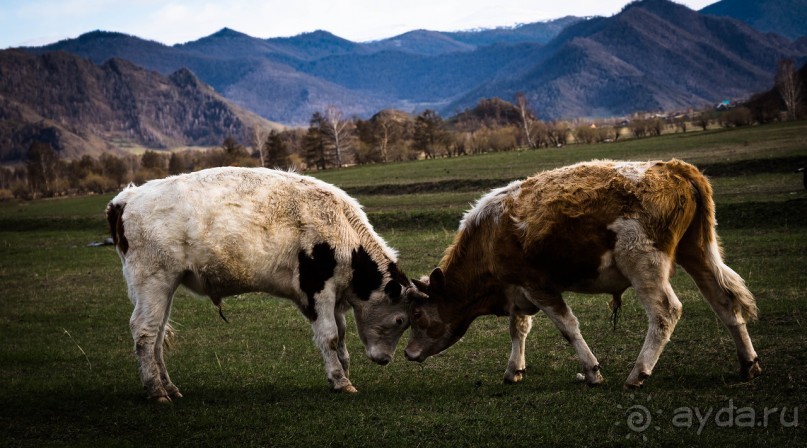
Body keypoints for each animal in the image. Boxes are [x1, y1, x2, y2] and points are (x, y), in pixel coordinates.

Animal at [107, 168, 416, 402]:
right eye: (400, 320)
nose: (385, 359)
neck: (342, 229)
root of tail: (127, 197)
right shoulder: (317, 291)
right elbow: (329, 336)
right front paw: (341, 380)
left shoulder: (332, 297)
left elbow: (340, 336)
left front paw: (342, 372)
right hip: (153, 282)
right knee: (144, 331)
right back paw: (156, 390)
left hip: (163, 289)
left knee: (157, 335)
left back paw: (168, 387)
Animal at [408, 159, 760, 386]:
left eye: (419, 316)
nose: (409, 354)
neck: (488, 236)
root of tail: (675, 168)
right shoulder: (517, 290)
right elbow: (518, 329)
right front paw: (514, 370)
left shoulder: (538, 286)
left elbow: (567, 327)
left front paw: (592, 371)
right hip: (697, 251)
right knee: (724, 301)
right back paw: (748, 364)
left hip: (644, 264)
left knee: (665, 313)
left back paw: (638, 374)